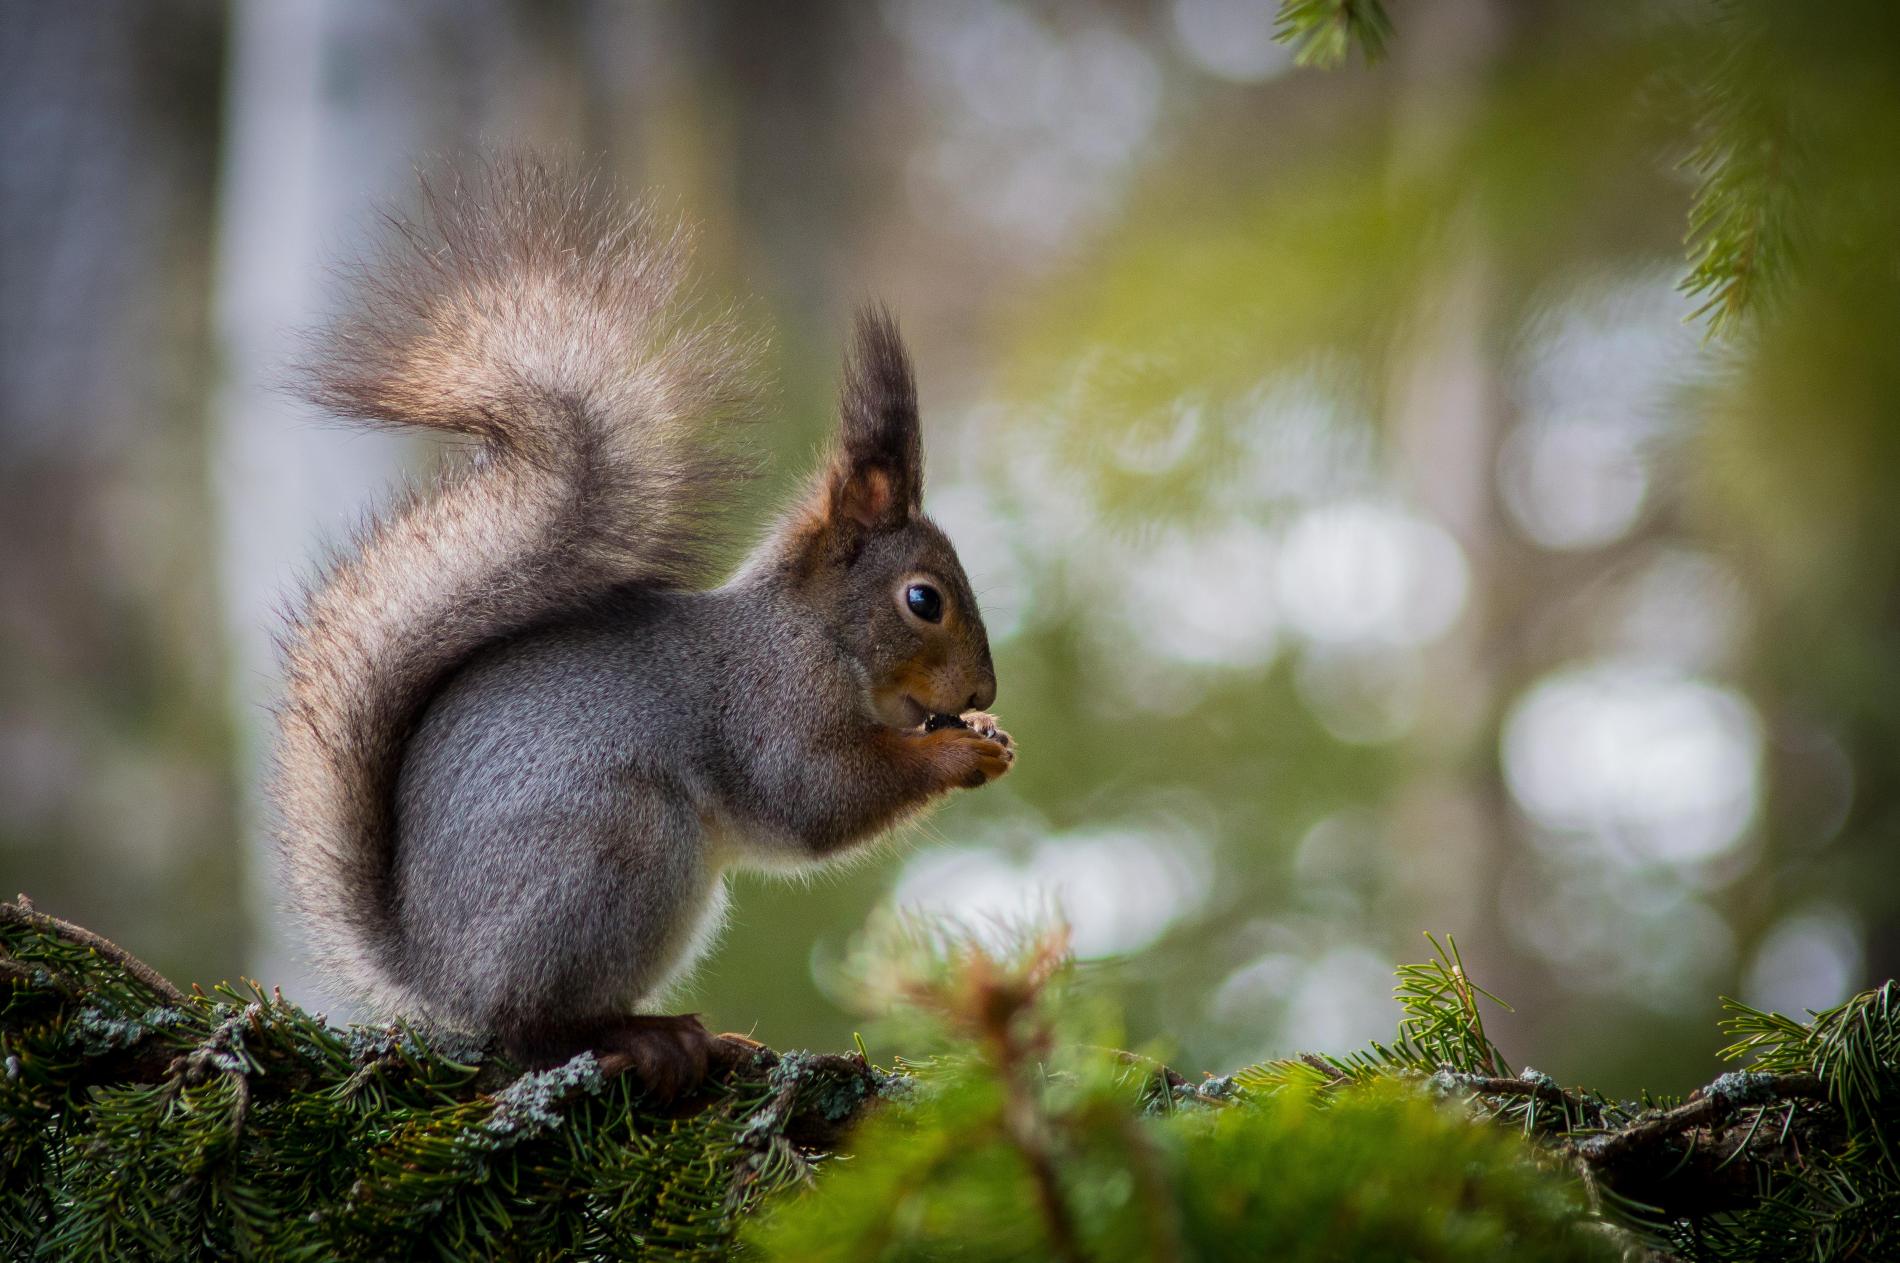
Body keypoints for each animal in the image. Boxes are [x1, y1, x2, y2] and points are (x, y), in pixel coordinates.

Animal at [271, 157, 1010, 1086]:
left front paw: (985, 733)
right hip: (620, 850)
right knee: (531, 1031)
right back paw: (641, 1037)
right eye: (923, 600)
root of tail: (437, 971)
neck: (810, 633)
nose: (985, 690)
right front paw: (961, 753)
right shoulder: (768, 707)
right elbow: (816, 796)